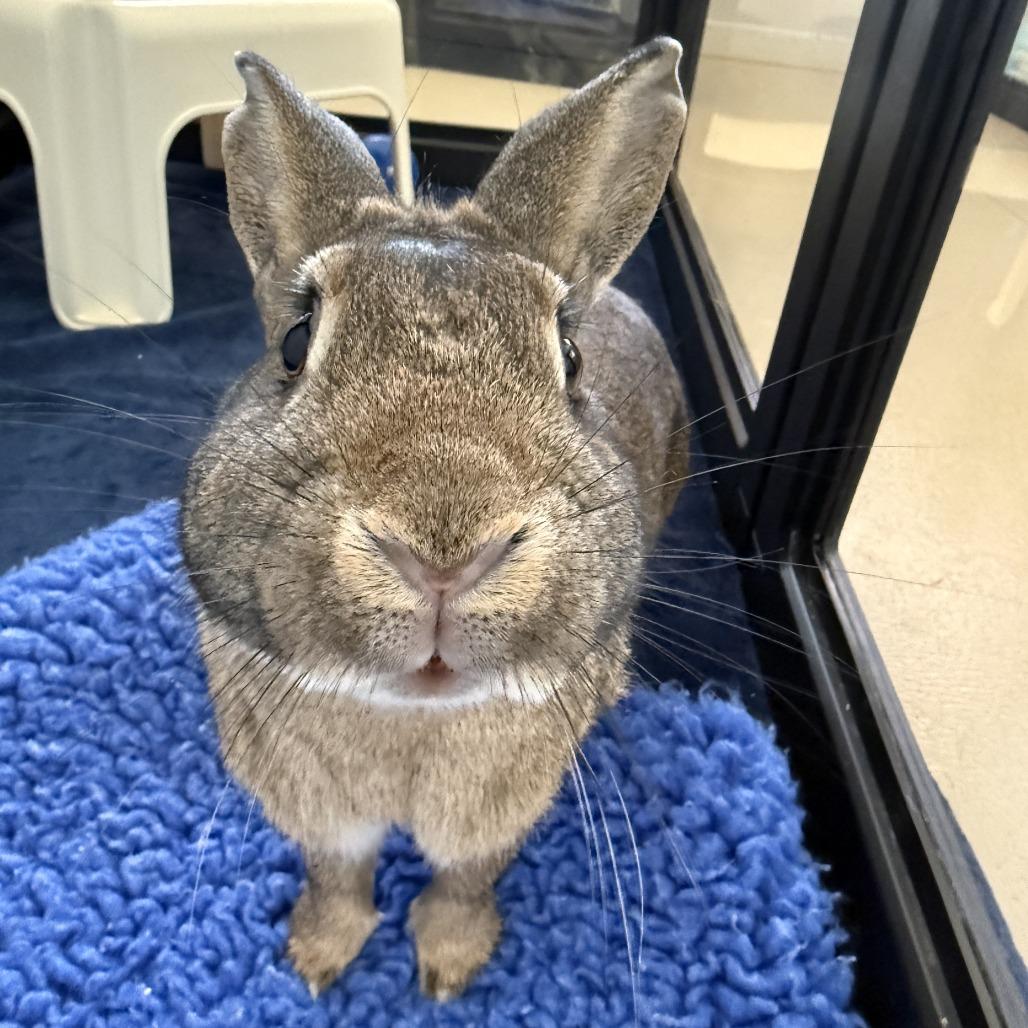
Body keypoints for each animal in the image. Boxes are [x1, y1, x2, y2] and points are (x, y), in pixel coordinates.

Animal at [180, 37, 689, 1001]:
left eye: (569, 358)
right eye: (295, 345)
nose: (444, 552)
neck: (408, 718)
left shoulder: (495, 811)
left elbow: (463, 876)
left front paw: (450, 967)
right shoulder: (320, 811)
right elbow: (339, 875)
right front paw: (317, 960)